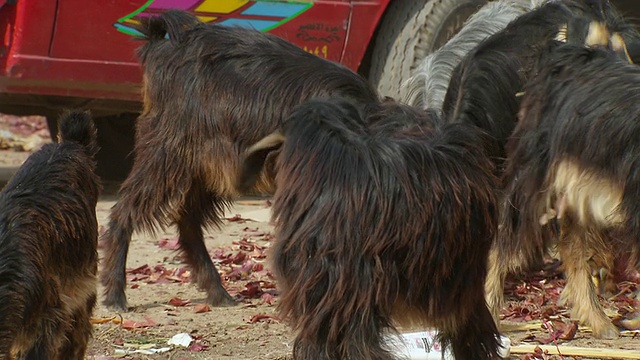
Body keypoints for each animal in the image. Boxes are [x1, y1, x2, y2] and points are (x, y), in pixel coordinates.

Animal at [99, 9, 380, 310]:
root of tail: (162, 43)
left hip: (209, 167)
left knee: (187, 220)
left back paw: (217, 291)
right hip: (167, 153)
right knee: (124, 211)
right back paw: (115, 294)